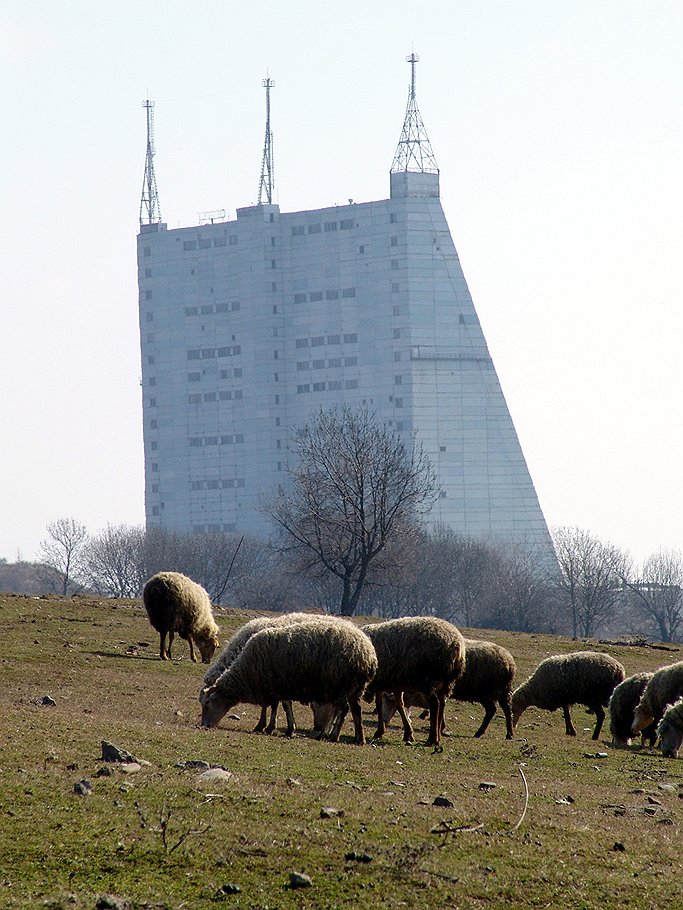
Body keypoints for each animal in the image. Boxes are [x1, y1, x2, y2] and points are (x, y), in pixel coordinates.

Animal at [198, 616, 380, 744]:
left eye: (208, 704)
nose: (203, 725)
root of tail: (369, 654)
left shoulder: (277, 683)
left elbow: (280, 705)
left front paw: (275, 727)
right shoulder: (272, 684)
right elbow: (273, 705)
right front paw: (268, 726)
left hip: (340, 685)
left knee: (341, 708)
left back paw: (327, 734)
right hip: (354, 688)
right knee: (354, 709)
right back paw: (357, 738)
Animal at [360, 616, 468, 744]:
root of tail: (456, 644)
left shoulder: (381, 681)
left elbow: (380, 704)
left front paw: (380, 731)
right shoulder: (395, 683)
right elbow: (399, 705)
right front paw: (408, 733)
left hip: (427, 680)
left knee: (434, 704)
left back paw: (432, 738)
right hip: (447, 682)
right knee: (442, 703)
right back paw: (438, 737)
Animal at [380, 640, 520, 740]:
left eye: (389, 701)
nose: (384, 720)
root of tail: (510, 663)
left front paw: (440, 727)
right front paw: (440, 726)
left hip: (489, 692)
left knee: (497, 710)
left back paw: (487, 732)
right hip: (499, 691)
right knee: (502, 710)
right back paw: (507, 733)